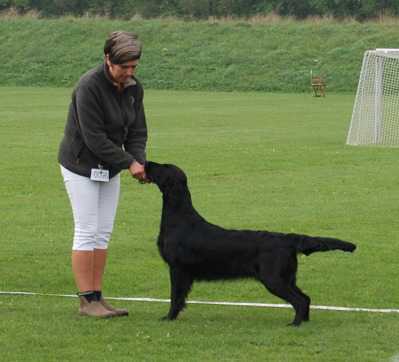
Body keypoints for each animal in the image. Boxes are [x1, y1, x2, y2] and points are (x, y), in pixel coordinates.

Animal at [145, 161, 358, 326]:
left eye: (163, 166)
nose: (146, 162)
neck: (179, 217)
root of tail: (287, 239)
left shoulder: (177, 268)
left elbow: (175, 296)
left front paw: (168, 317)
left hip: (273, 278)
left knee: (299, 300)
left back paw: (295, 324)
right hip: (287, 277)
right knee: (305, 298)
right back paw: (303, 321)